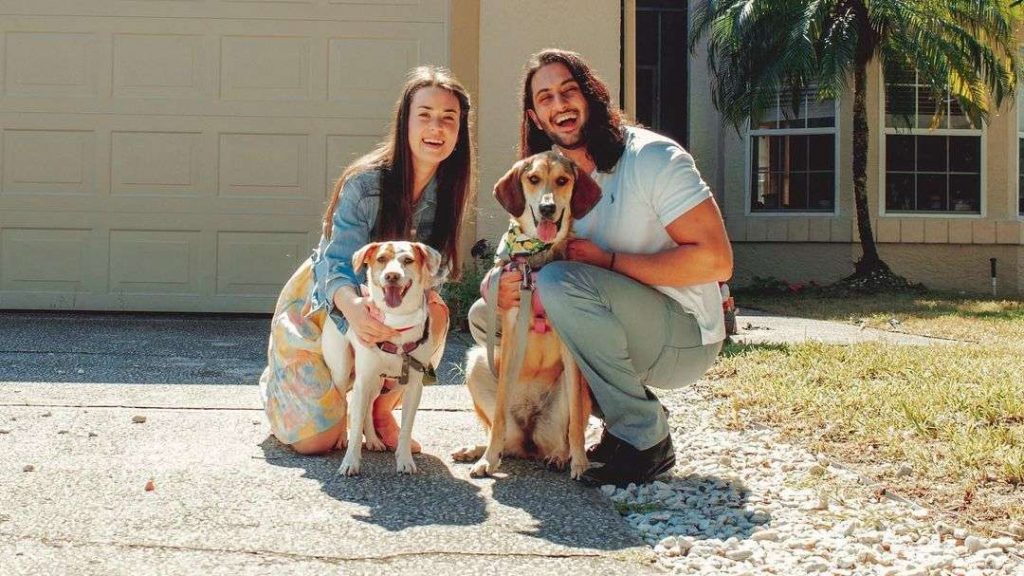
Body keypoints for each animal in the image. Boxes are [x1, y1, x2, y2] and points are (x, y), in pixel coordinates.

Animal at [321, 238, 442, 475]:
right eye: (381, 259)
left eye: (408, 260)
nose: (392, 276)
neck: (397, 324)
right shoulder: (361, 382)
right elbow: (355, 428)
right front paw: (350, 462)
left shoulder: (414, 386)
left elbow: (406, 429)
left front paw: (404, 460)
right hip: (342, 372)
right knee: (345, 405)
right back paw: (341, 438)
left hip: (376, 382)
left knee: (368, 407)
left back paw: (374, 440)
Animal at [454, 150, 598, 477]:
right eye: (533, 179)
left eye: (562, 180)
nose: (547, 208)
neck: (536, 261)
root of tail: (529, 442)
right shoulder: (510, 342)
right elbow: (497, 419)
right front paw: (487, 460)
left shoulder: (571, 353)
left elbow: (576, 426)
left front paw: (580, 463)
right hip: (477, 362)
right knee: (503, 437)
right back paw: (478, 451)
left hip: (573, 388)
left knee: (563, 434)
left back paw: (560, 456)